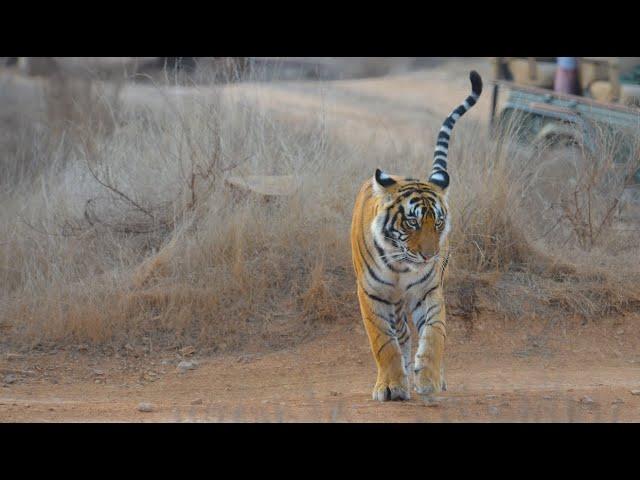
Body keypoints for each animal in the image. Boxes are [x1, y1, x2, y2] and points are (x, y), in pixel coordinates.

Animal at [352, 70, 482, 402]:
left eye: (438, 223)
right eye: (411, 222)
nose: (430, 256)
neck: (401, 265)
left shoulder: (428, 290)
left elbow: (435, 334)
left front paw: (429, 380)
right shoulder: (372, 294)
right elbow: (384, 343)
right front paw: (392, 386)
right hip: (394, 302)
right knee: (401, 333)